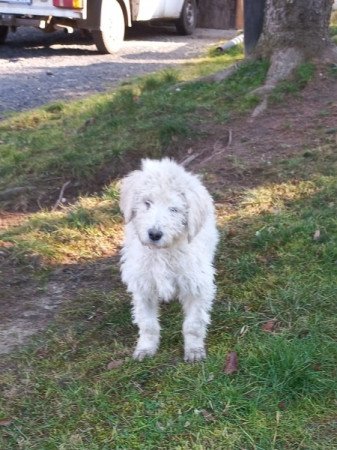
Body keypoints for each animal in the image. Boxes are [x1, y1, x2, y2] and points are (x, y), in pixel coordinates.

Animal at [118, 158, 218, 362]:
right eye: (147, 203)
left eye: (174, 209)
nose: (154, 234)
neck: (161, 253)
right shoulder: (143, 286)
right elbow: (148, 324)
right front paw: (145, 348)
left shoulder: (196, 285)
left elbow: (193, 324)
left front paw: (194, 350)